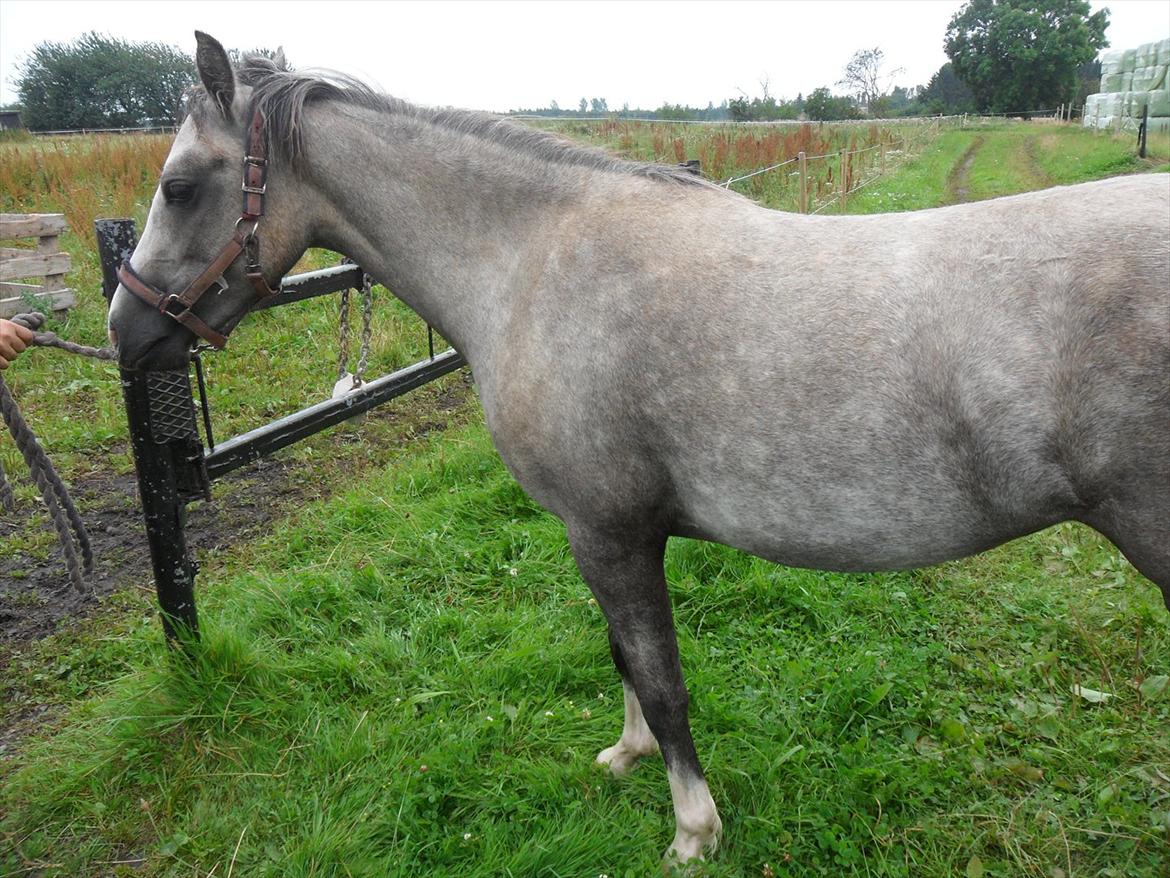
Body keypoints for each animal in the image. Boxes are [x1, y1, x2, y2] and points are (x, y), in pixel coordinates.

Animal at [109, 32, 1170, 866]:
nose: (126, 331)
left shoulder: (610, 532)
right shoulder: (605, 534)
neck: (535, 259)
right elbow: (622, 657)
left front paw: (693, 830)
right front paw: (626, 759)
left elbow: (659, 679)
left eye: (179, 185)